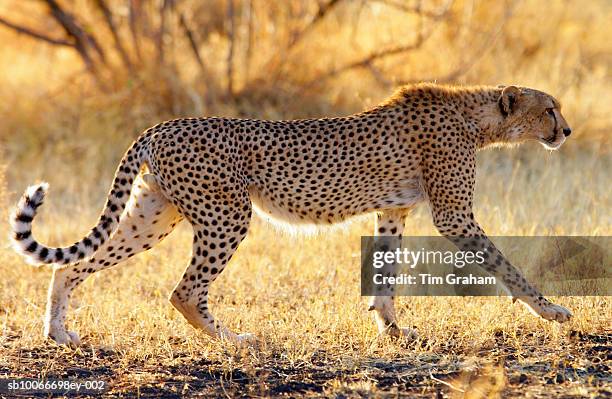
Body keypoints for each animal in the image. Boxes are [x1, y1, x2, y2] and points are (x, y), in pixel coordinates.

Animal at [9, 83, 572, 346]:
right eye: (549, 108)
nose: (566, 131)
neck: (477, 118)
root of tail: (162, 125)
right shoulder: (453, 215)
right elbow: (505, 265)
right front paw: (551, 311)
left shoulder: (393, 210)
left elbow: (384, 274)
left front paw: (392, 329)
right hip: (227, 215)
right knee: (185, 292)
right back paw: (236, 342)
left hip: (154, 214)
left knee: (70, 266)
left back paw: (58, 333)